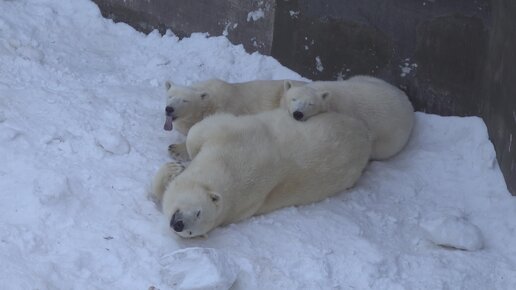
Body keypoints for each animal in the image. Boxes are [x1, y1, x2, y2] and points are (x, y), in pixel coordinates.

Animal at [151, 109, 372, 238]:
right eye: (197, 211)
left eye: (191, 231)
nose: (179, 224)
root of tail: (365, 136)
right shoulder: (238, 139)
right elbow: (201, 132)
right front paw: (176, 158)